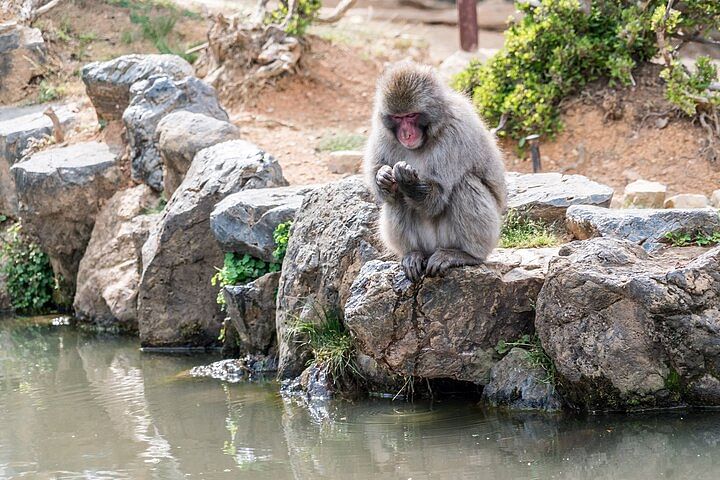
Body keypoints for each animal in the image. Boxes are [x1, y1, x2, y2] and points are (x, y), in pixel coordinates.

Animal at [366, 62, 506, 284]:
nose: (406, 134)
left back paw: (466, 255)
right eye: (398, 118)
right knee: (395, 199)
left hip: (475, 236)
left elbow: (436, 198)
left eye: (411, 116)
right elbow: (382, 185)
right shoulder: (382, 132)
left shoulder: (456, 133)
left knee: (465, 184)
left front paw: (408, 181)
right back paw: (413, 254)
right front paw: (383, 177)